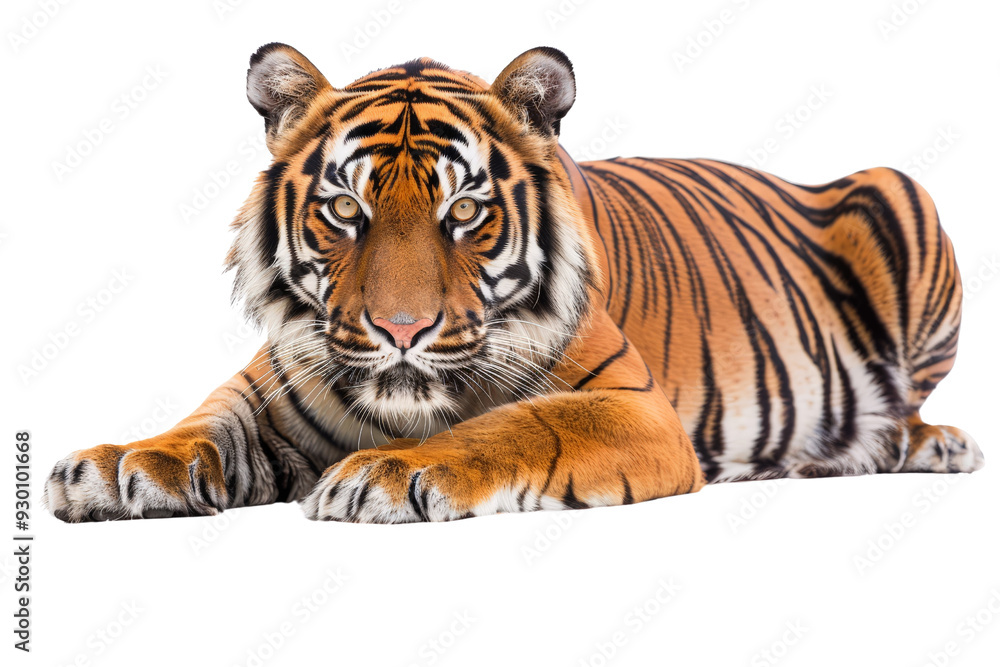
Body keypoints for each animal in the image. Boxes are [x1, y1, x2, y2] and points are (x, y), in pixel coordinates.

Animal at [44, 44, 984, 523]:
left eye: (465, 209)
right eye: (346, 207)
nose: (401, 330)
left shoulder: (632, 404)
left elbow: (518, 423)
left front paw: (385, 473)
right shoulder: (271, 385)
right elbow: (204, 423)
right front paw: (117, 465)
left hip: (903, 195)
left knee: (903, 406)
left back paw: (929, 445)